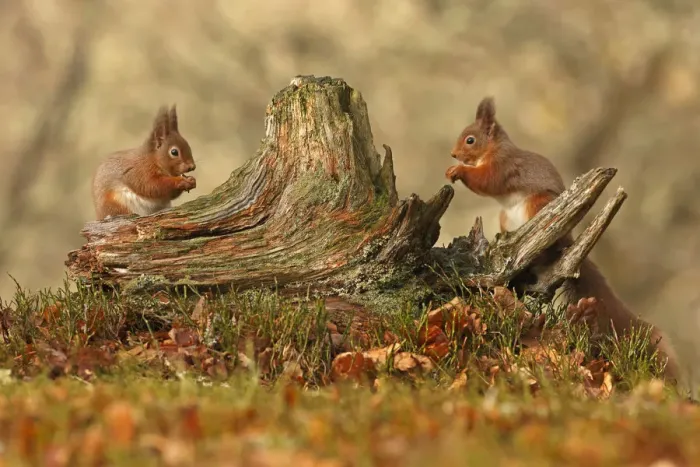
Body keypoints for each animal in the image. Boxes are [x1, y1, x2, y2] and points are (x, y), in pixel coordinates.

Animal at [445, 96, 681, 381]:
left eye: (470, 140)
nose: (454, 154)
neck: (493, 150)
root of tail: (568, 240)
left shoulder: (505, 166)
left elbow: (487, 181)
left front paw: (458, 171)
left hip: (538, 206)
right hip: (505, 216)